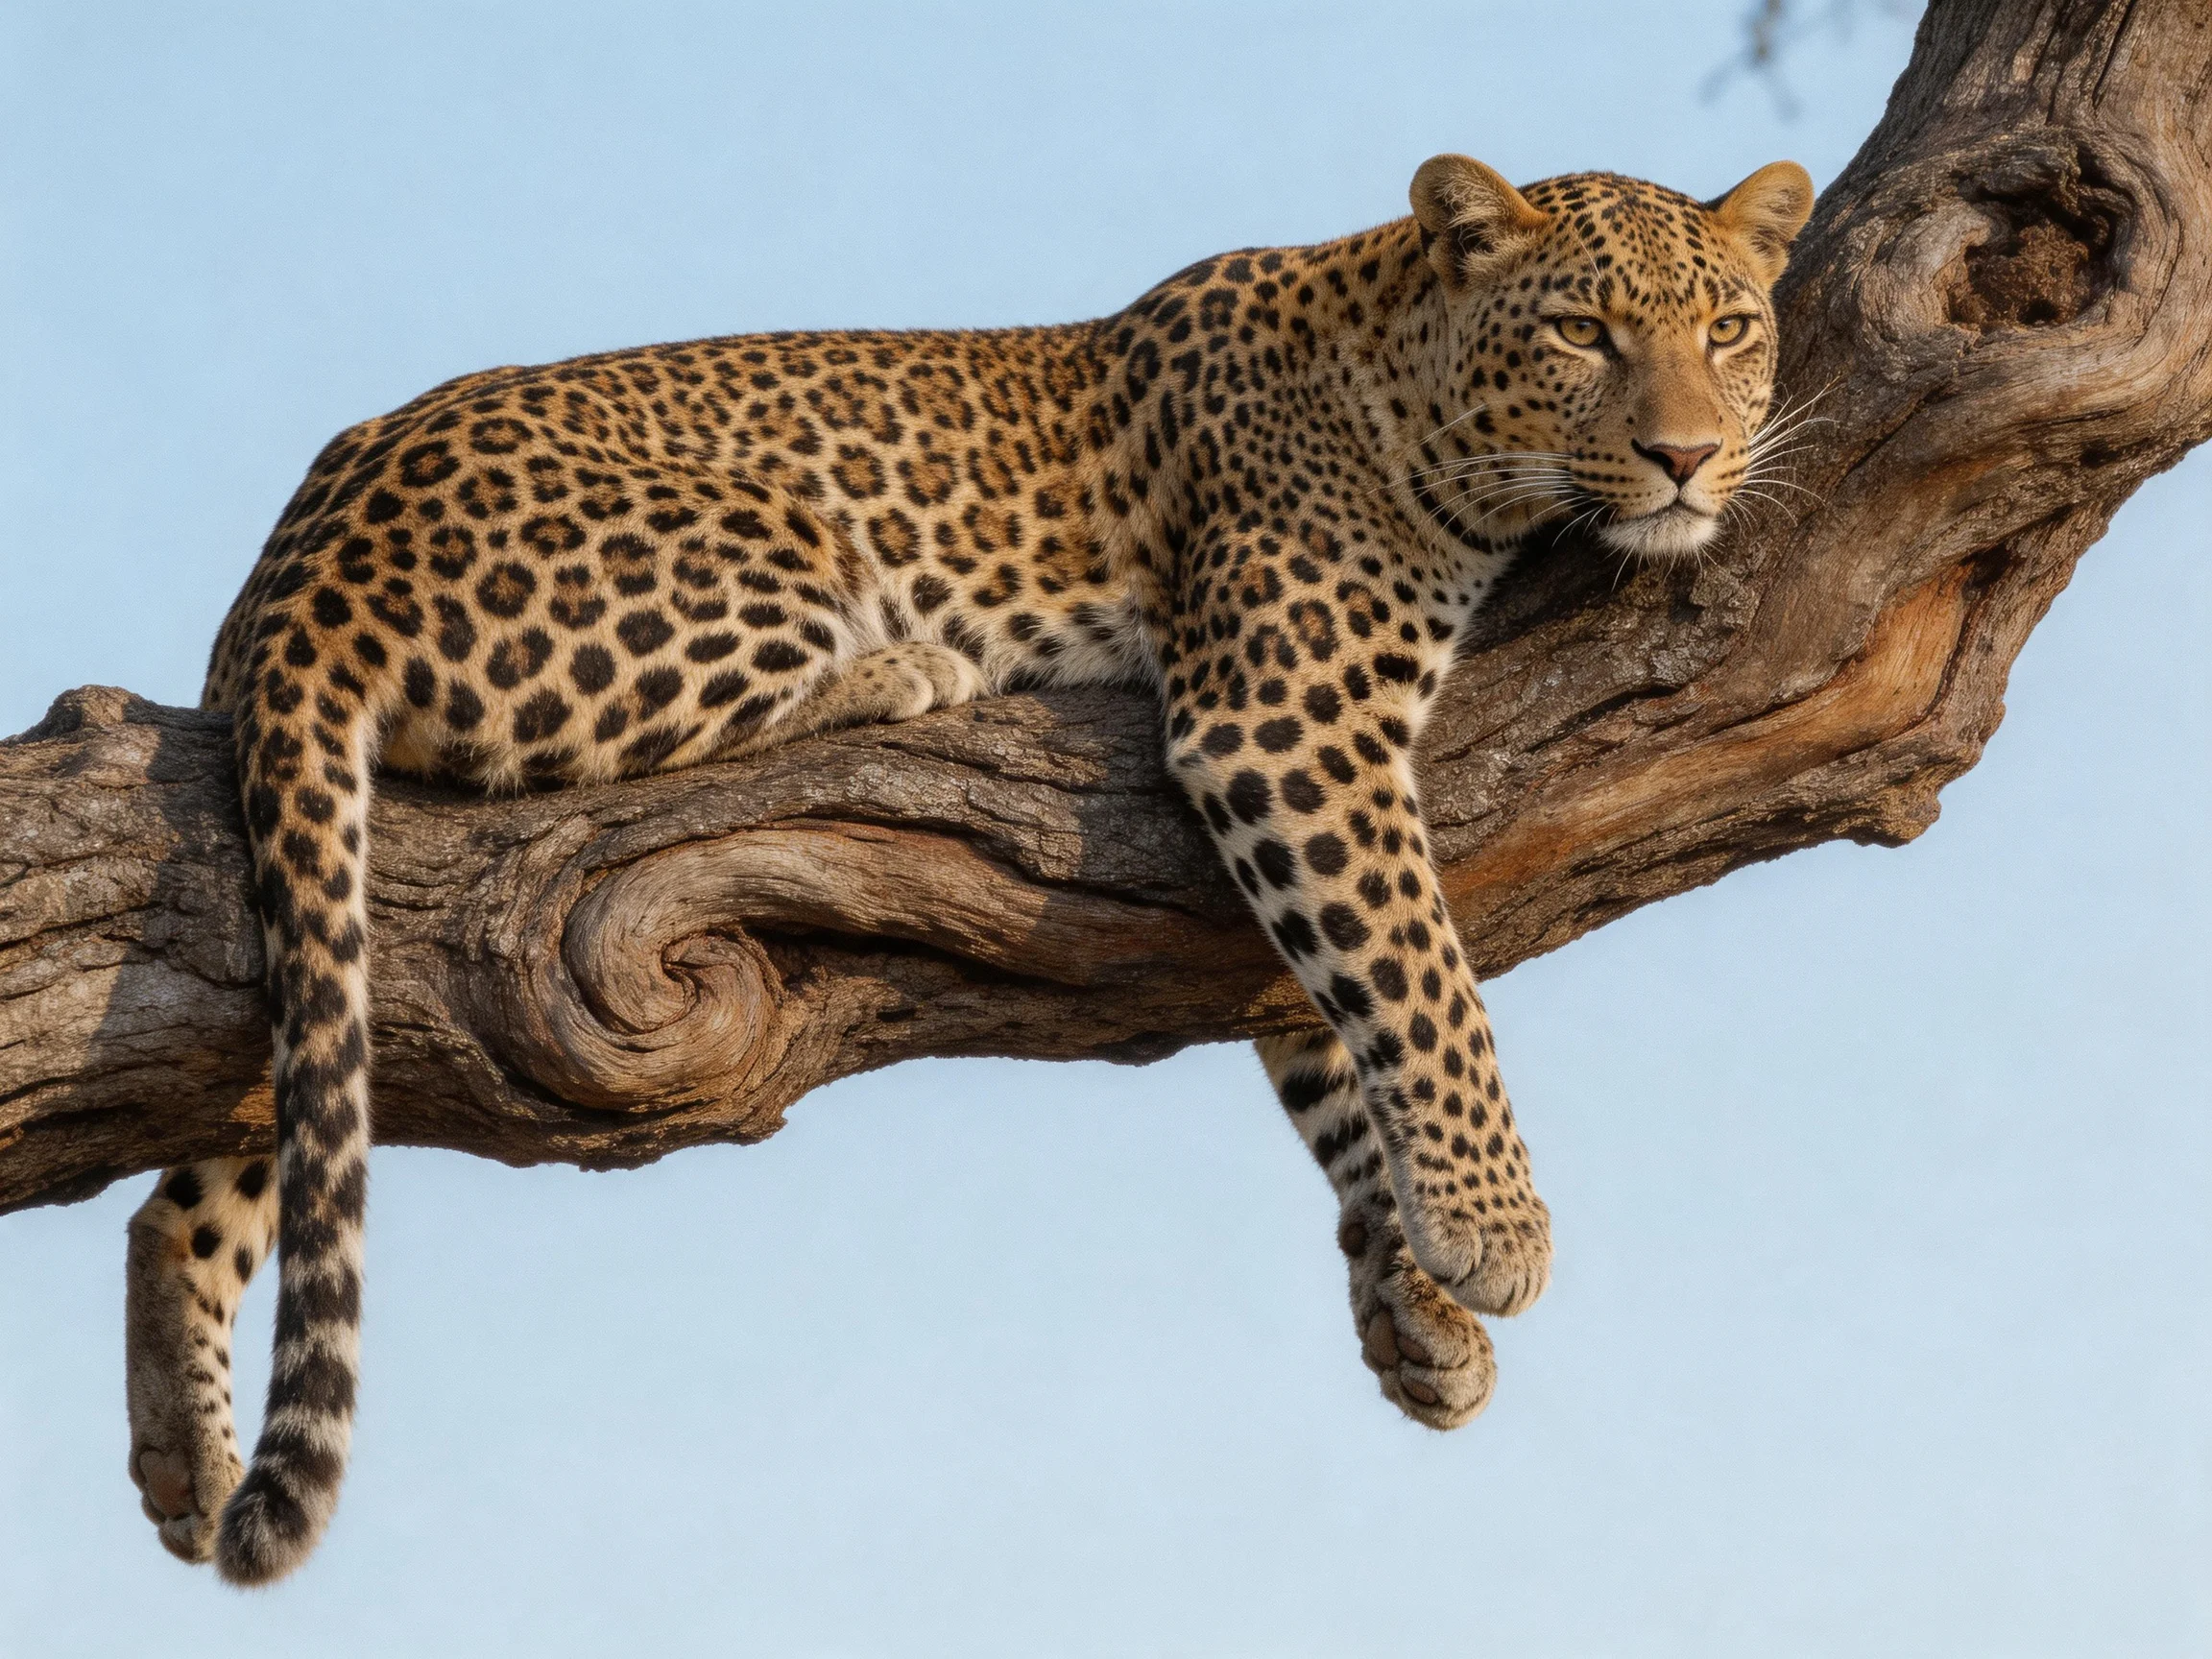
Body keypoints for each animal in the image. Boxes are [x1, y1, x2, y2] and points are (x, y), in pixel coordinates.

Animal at [121, 152, 1813, 1584]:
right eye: (1585, 333)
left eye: (1730, 329)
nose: (1688, 456)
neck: (1404, 375)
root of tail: (302, 556)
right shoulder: (1285, 722)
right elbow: (1424, 978)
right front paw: (1497, 1230)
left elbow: (1333, 1031)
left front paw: (1420, 1311)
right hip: (763, 543)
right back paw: (909, 671)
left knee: (233, 1137)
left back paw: (178, 1448)